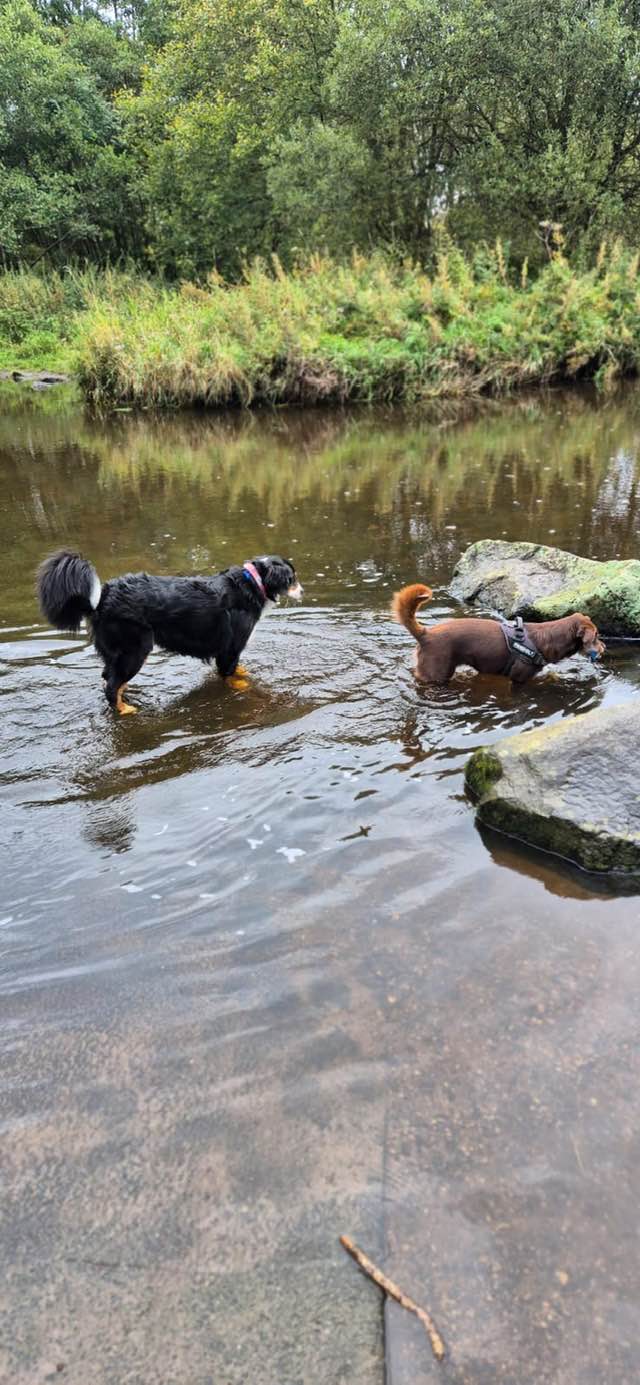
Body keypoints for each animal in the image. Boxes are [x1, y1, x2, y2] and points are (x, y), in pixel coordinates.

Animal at [37, 545, 301, 714]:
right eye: (292, 578)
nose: (303, 590)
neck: (254, 582)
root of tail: (103, 597)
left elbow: (238, 669)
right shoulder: (230, 648)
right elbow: (231, 674)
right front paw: (243, 687)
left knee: (108, 678)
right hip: (136, 649)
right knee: (111, 687)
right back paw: (125, 709)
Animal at [390, 581, 603, 684]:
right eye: (597, 636)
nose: (604, 647)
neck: (548, 638)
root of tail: (425, 634)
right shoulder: (519, 677)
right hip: (437, 673)